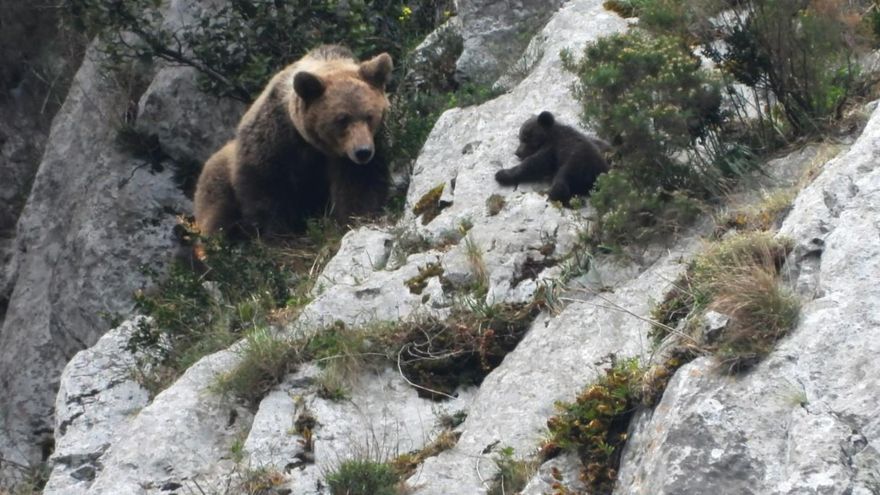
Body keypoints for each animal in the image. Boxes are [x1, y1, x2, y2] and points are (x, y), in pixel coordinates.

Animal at [194, 44, 393, 238]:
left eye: (369, 116)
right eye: (342, 119)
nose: (363, 152)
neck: (313, 144)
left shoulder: (355, 154)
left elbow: (359, 184)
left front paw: (356, 218)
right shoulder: (275, 140)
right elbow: (267, 189)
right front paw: (276, 232)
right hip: (218, 181)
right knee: (219, 216)